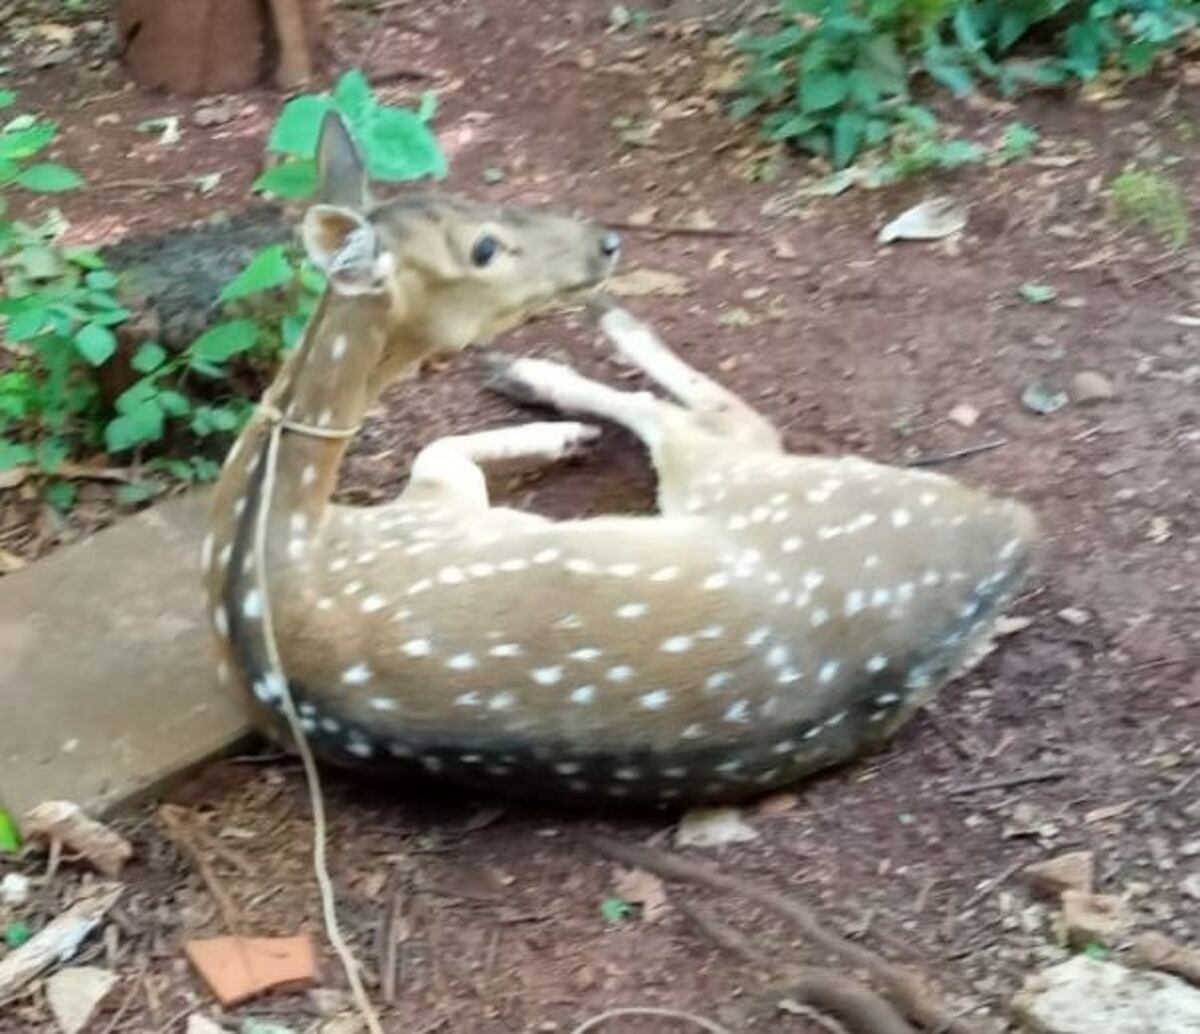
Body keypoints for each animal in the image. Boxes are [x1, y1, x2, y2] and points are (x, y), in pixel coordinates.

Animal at [202, 111, 1038, 807]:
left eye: (463, 189)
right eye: (482, 249)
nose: (605, 242)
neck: (259, 550)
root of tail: (1010, 534)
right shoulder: (436, 504)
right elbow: (439, 450)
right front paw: (562, 431)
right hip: (760, 485)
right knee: (723, 420)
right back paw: (573, 347)